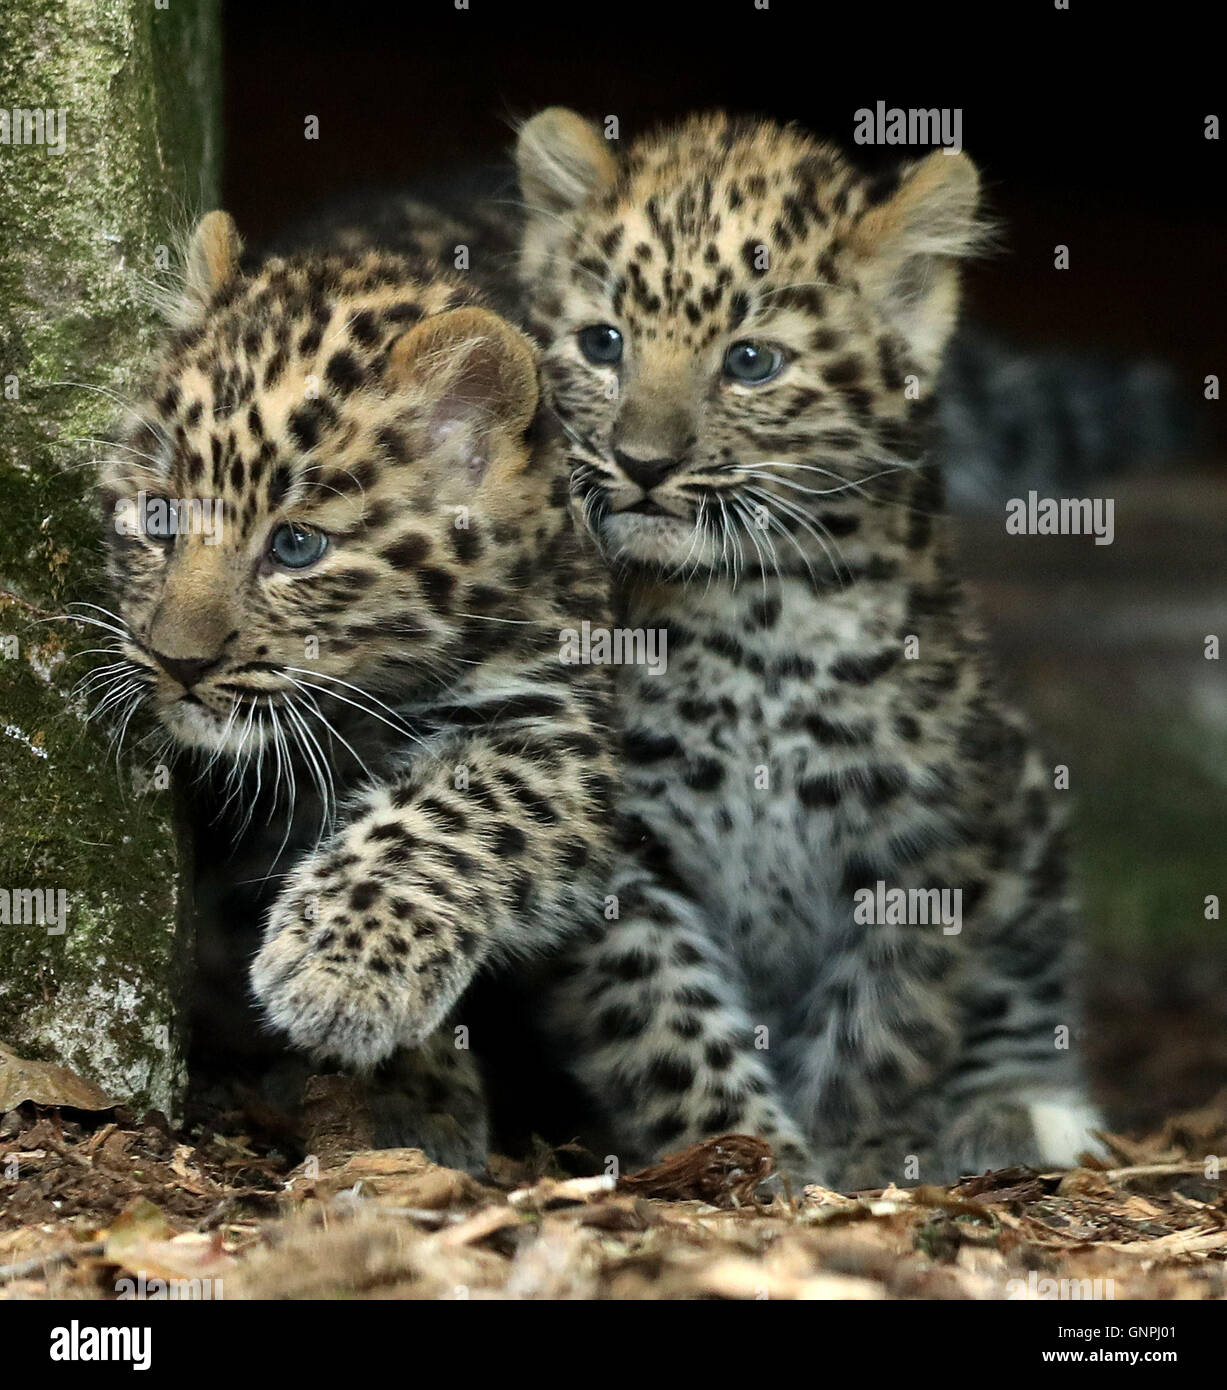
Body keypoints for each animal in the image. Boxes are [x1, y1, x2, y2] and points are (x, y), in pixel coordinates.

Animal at [94, 209, 618, 1171]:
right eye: (159, 518)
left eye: (297, 547)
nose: (178, 663)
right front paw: (411, 1091)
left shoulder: (559, 720)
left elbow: (453, 813)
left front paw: (340, 970)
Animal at [507, 108, 1105, 1188]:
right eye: (603, 343)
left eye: (751, 363)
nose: (642, 462)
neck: (757, 616)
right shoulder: (625, 856)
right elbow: (667, 1019)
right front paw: (755, 1159)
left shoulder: (922, 839)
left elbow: (883, 1023)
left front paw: (848, 1157)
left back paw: (1019, 1114)